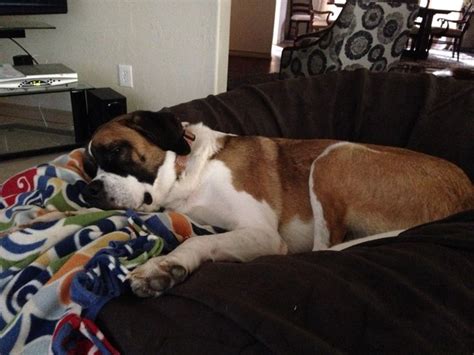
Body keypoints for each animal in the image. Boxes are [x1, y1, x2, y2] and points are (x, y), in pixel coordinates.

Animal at [82, 111, 474, 298]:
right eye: (88, 167)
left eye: (115, 151)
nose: (90, 189)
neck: (186, 169)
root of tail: (467, 192)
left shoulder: (263, 234)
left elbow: (199, 241)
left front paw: (163, 267)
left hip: (334, 156)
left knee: (322, 249)